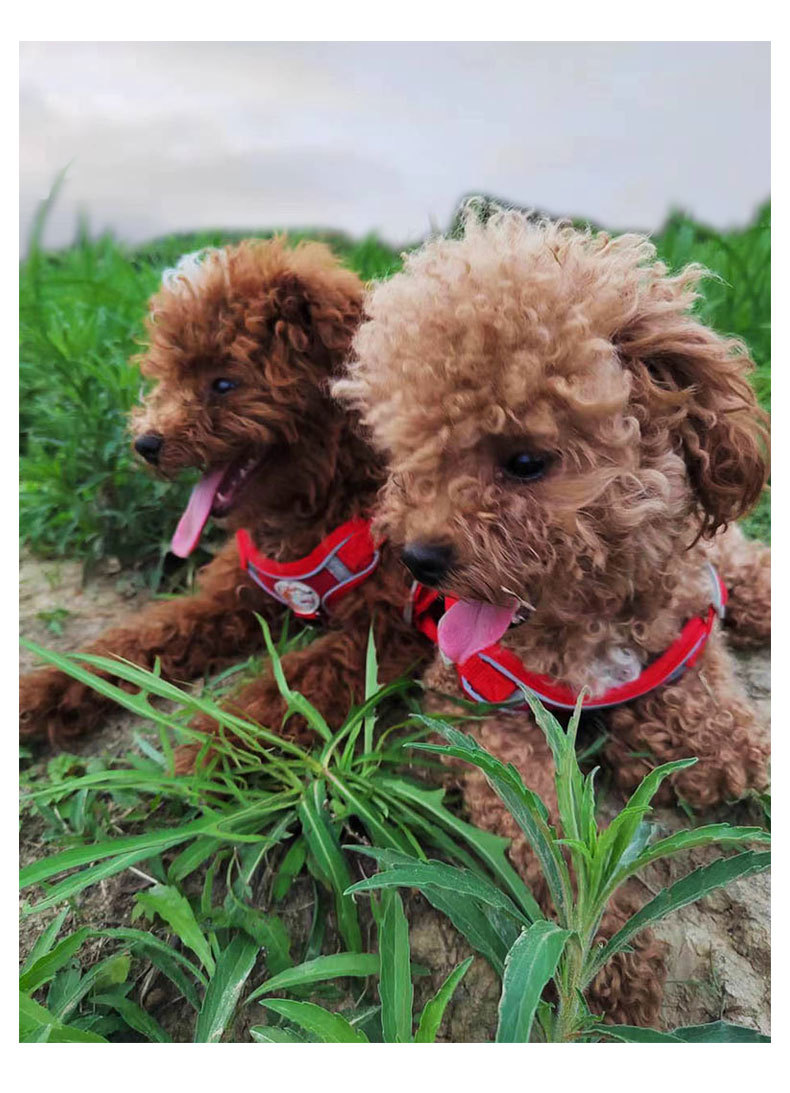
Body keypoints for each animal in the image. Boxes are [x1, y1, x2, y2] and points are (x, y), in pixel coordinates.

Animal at [20, 238, 427, 763]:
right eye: (168, 376)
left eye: (225, 384)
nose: (146, 444)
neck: (323, 495)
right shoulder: (234, 595)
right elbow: (138, 638)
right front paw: (43, 690)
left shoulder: (387, 631)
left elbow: (285, 692)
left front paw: (208, 754)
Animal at [335, 207, 770, 1025]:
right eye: (411, 451)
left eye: (527, 461)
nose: (419, 557)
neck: (586, 609)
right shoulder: (479, 709)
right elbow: (549, 823)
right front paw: (604, 947)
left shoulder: (676, 602)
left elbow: (701, 668)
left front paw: (728, 744)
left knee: (737, 562)